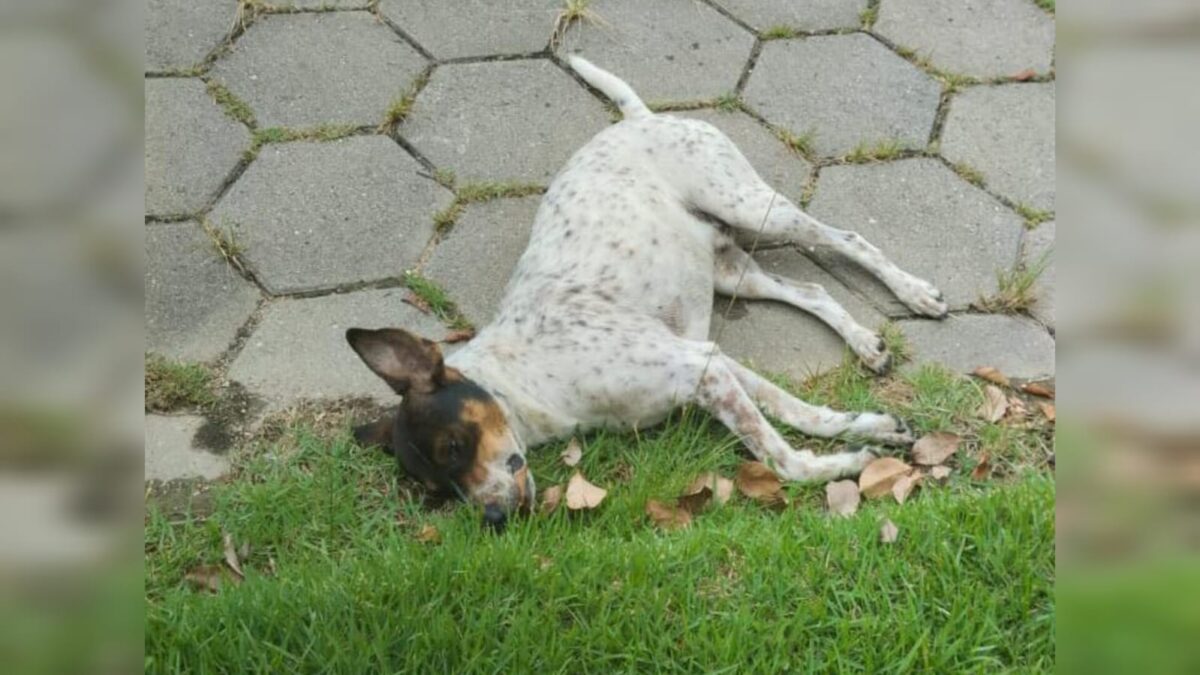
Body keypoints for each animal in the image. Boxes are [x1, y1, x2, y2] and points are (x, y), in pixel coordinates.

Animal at [348, 57, 945, 528]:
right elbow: (799, 412)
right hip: (731, 270)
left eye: (453, 446)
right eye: (438, 492)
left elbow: (782, 458)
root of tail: (639, 119)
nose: (494, 518)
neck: (525, 376)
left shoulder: (699, 369)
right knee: (812, 288)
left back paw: (916, 293)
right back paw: (866, 343)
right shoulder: (710, 359)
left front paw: (847, 464)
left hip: (750, 205)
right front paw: (871, 428)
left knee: (846, 239)